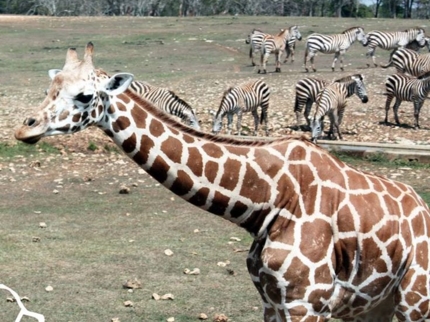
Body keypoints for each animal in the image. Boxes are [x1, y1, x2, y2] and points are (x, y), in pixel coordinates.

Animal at [14, 43, 430, 322]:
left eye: (85, 95)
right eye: (50, 87)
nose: (24, 128)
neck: (268, 201)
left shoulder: (308, 301)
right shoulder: (271, 299)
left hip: (415, 299)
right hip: (376, 306)